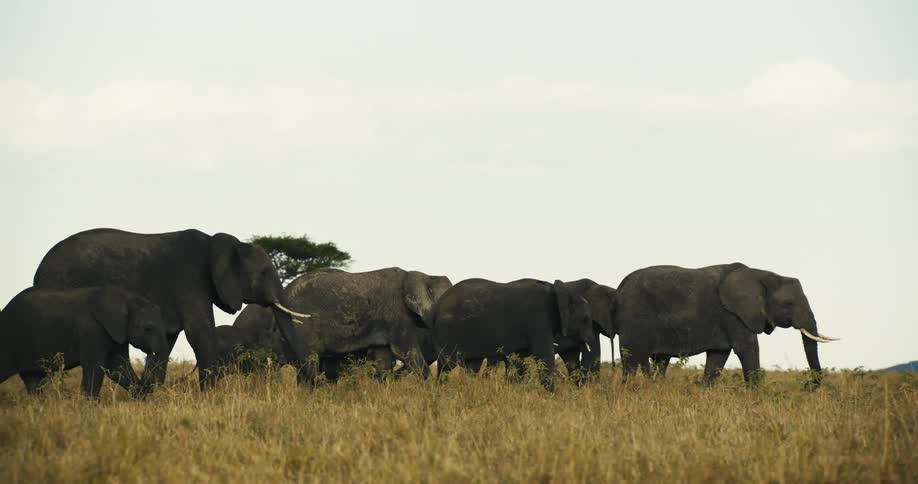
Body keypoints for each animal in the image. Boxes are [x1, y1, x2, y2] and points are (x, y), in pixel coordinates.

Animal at [0, 286, 170, 397]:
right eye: (148, 328)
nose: (148, 385)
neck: (125, 298)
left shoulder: (116, 332)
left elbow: (118, 367)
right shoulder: (92, 329)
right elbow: (95, 367)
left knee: (33, 380)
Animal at [32, 228, 308, 392]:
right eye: (262, 273)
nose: (311, 384)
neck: (217, 243)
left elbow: (167, 338)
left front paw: (153, 394)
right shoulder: (189, 281)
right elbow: (199, 333)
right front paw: (209, 397)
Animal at [233, 267, 452, 386]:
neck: (422, 276)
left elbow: (383, 358)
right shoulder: (397, 314)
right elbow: (406, 352)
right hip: (300, 323)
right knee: (309, 362)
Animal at [433, 278, 595, 391]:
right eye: (586, 319)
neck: (561, 291)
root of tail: (437, 305)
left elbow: (519, 361)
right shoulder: (538, 319)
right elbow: (544, 356)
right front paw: (552, 397)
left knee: (471, 366)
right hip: (449, 330)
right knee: (447, 364)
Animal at [614, 263, 838, 386]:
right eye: (788, 304)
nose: (807, 385)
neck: (762, 275)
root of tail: (620, 286)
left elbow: (717, 357)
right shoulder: (734, 315)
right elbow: (748, 349)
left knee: (658, 361)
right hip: (634, 318)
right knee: (631, 359)